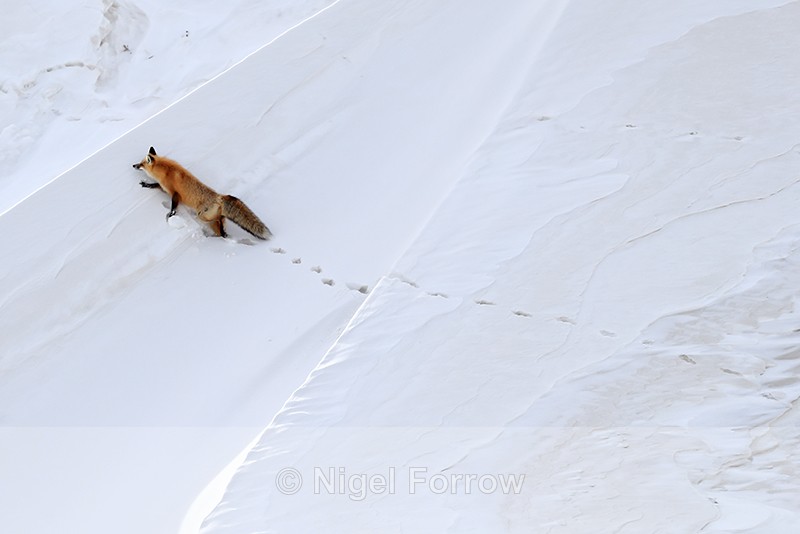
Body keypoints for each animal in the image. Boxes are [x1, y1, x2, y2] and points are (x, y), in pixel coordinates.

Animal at [132, 146, 271, 240]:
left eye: (141, 164)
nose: (133, 165)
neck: (166, 171)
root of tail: (219, 197)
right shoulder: (164, 188)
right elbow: (156, 185)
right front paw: (147, 184)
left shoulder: (175, 194)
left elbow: (173, 206)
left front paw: (171, 215)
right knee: (222, 223)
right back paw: (221, 233)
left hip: (203, 216)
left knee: (219, 221)